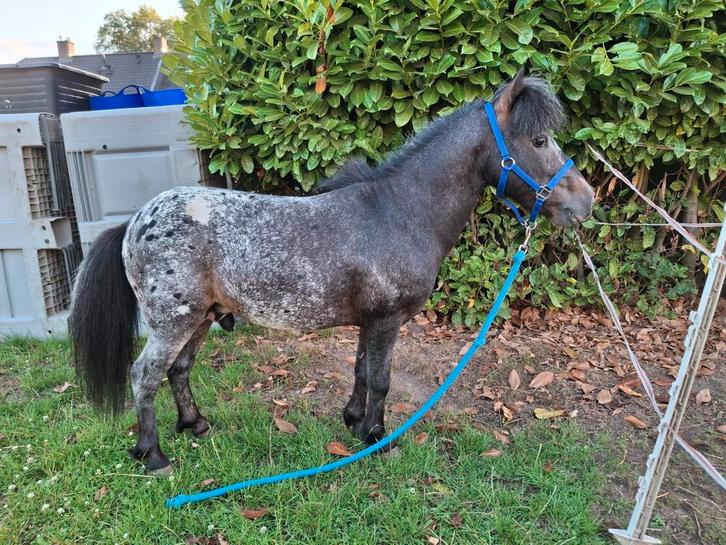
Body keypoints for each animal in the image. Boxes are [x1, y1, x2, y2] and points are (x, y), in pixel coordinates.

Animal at [69, 70, 594, 474]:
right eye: (539, 140)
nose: (585, 201)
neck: (399, 212)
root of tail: (135, 220)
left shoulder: (369, 322)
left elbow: (361, 371)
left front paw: (354, 422)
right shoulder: (385, 322)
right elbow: (380, 379)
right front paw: (378, 438)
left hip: (200, 317)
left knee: (178, 370)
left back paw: (195, 424)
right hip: (173, 321)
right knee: (146, 374)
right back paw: (153, 455)